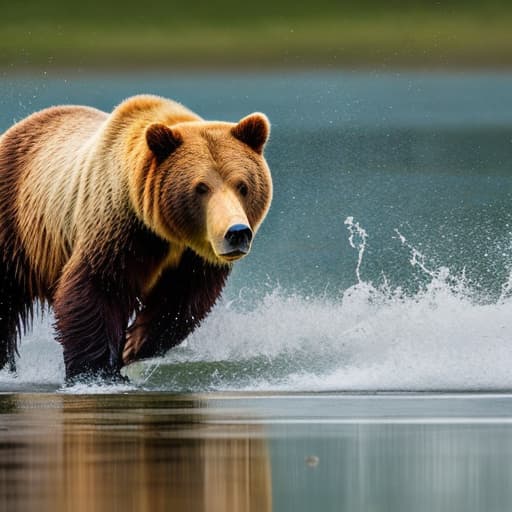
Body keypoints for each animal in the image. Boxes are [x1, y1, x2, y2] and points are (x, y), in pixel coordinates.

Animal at [0, 95, 272, 380]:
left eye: (242, 185)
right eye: (201, 187)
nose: (237, 232)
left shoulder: (192, 258)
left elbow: (180, 303)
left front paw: (131, 346)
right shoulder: (118, 228)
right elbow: (96, 290)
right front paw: (97, 370)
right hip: (16, 223)